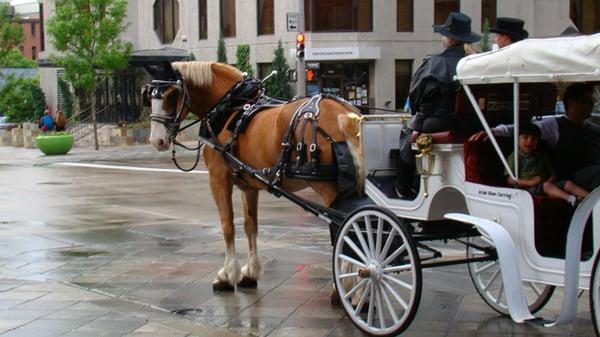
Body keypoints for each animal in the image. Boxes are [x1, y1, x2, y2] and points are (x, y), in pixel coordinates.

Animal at [149, 61, 366, 290]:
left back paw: (344, 285)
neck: (229, 106)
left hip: (328, 187)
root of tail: (346, 114)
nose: (157, 140)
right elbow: (250, 225)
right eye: (149, 95)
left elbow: (227, 225)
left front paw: (227, 274)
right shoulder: (248, 184)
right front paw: (250, 272)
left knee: (346, 228)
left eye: (172, 94)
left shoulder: (219, 179)